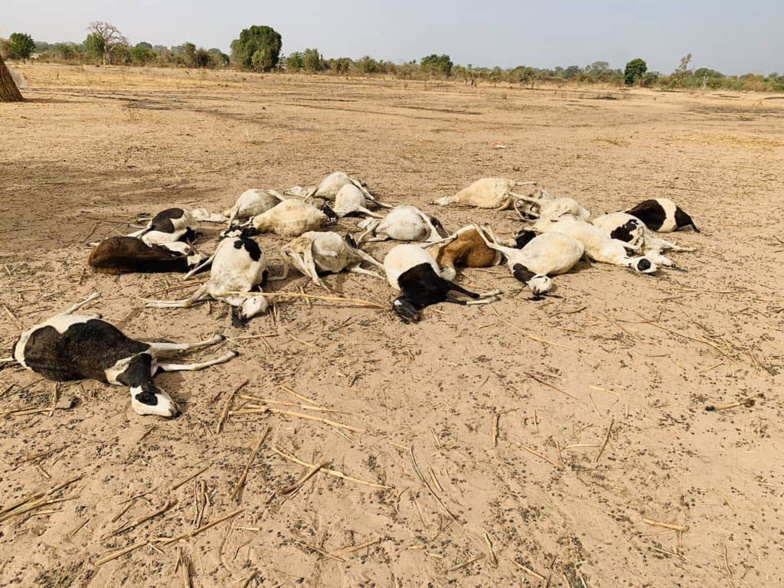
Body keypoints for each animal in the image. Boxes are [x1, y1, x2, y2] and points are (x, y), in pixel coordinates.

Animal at [11, 294, 236, 418]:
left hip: (58, 320)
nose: (174, 413)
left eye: (149, 397)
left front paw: (220, 341)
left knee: (68, 308)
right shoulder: (155, 362)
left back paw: (95, 298)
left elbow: (188, 348)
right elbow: (193, 364)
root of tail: (21, 350)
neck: (125, 369)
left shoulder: (148, 348)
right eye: (145, 409)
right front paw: (227, 352)